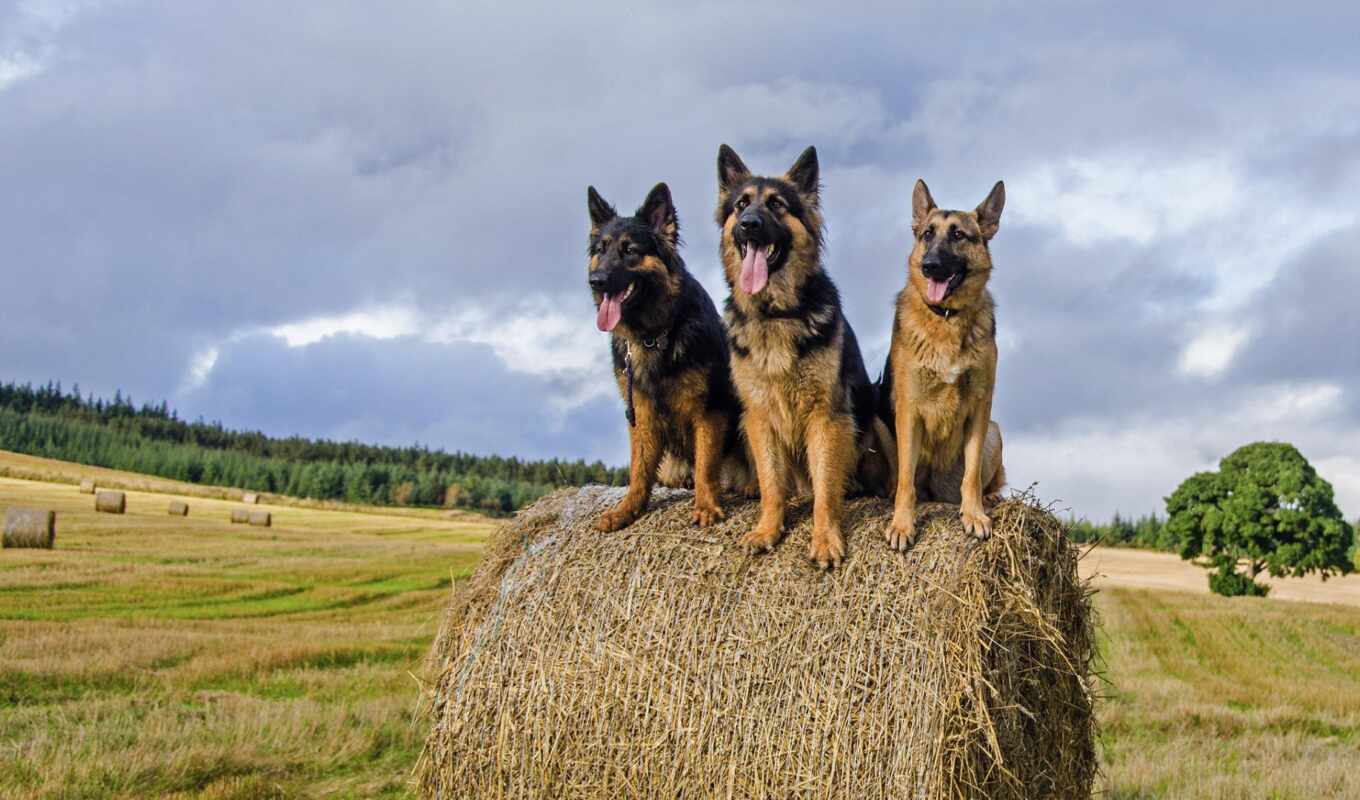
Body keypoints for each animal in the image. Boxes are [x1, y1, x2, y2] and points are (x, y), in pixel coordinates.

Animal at [584, 182, 750, 530]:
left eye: (630, 250)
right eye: (600, 250)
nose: (596, 282)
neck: (652, 335)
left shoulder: (708, 409)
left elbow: (706, 463)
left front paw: (706, 506)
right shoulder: (640, 411)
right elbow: (639, 469)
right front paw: (628, 509)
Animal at [718, 145, 897, 568]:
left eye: (777, 204)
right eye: (741, 204)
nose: (748, 225)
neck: (776, 313)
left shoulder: (826, 416)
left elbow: (826, 488)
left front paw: (826, 538)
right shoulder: (759, 416)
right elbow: (771, 482)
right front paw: (767, 529)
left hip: (876, 414)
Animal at [881, 178, 1011, 549]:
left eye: (958, 235)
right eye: (927, 234)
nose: (930, 266)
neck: (947, 319)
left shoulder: (980, 406)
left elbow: (971, 475)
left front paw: (974, 514)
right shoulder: (908, 409)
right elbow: (905, 480)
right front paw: (902, 524)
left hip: (994, 431)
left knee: (985, 480)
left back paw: (991, 498)